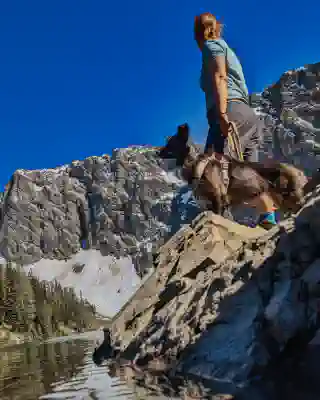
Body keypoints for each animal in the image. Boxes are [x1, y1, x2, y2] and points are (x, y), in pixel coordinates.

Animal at [159, 124, 308, 216]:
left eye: (169, 144)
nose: (157, 152)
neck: (195, 163)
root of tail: (292, 168)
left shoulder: (218, 197)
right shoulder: (210, 204)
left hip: (289, 194)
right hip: (280, 200)